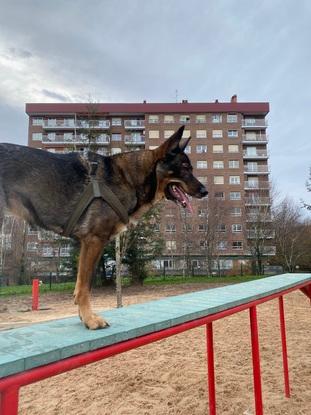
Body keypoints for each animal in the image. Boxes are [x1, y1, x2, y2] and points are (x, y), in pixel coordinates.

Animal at [1, 126, 210, 328]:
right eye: (185, 168)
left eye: (191, 168)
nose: (205, 191)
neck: (129, 178)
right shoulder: (93, 240)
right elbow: (84, 286)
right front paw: (89, 319)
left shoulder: (89, 245)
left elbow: (82, 284)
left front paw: (83, 316)